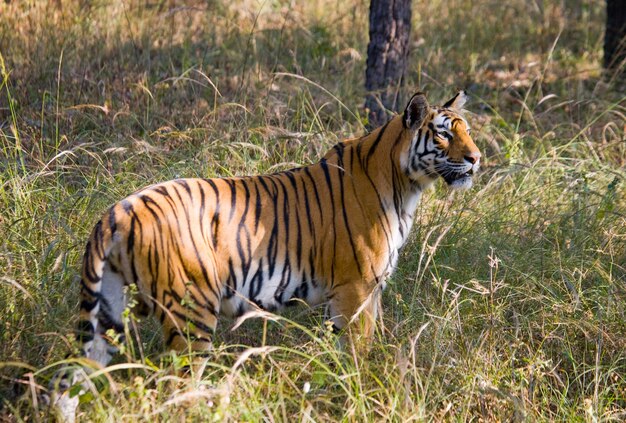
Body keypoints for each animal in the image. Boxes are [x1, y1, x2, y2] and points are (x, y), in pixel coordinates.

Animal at [50, 91, 478, 420]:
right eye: (443, 134)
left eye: (468, 132)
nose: (476, 158)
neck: (406, 184)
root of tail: (118, 210)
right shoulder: (357, 288)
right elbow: (359, 351)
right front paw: (361, 393)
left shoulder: (363, 292)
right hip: (192, 312)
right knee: (176, 385)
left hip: (107, 309)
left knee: (81, 375)